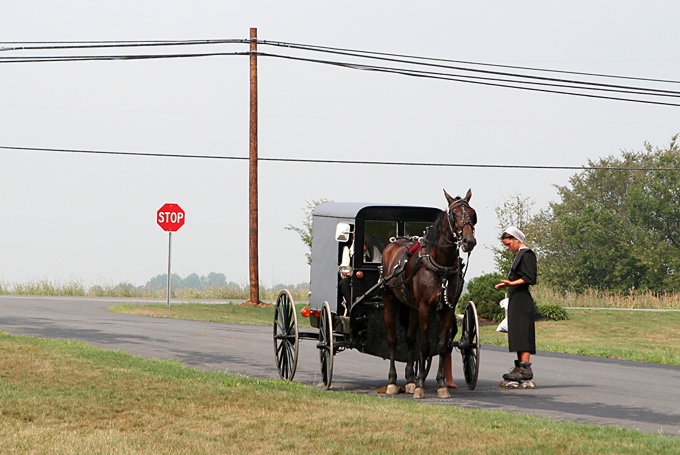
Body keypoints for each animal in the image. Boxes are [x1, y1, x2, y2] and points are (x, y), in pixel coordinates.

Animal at [382, 189, 478, 400]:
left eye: (473, 214)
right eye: (454, 214)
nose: (469, 241)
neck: (441, 265)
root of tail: (393, 242)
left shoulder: (448, 309)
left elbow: (441, 345)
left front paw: (441, 384)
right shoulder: (425, 308)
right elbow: (425, 346)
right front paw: (420, 385)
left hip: (411, 307)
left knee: (410, 339)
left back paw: (409, 380)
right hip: (390, 301)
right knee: (393, 339)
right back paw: (392, 382)